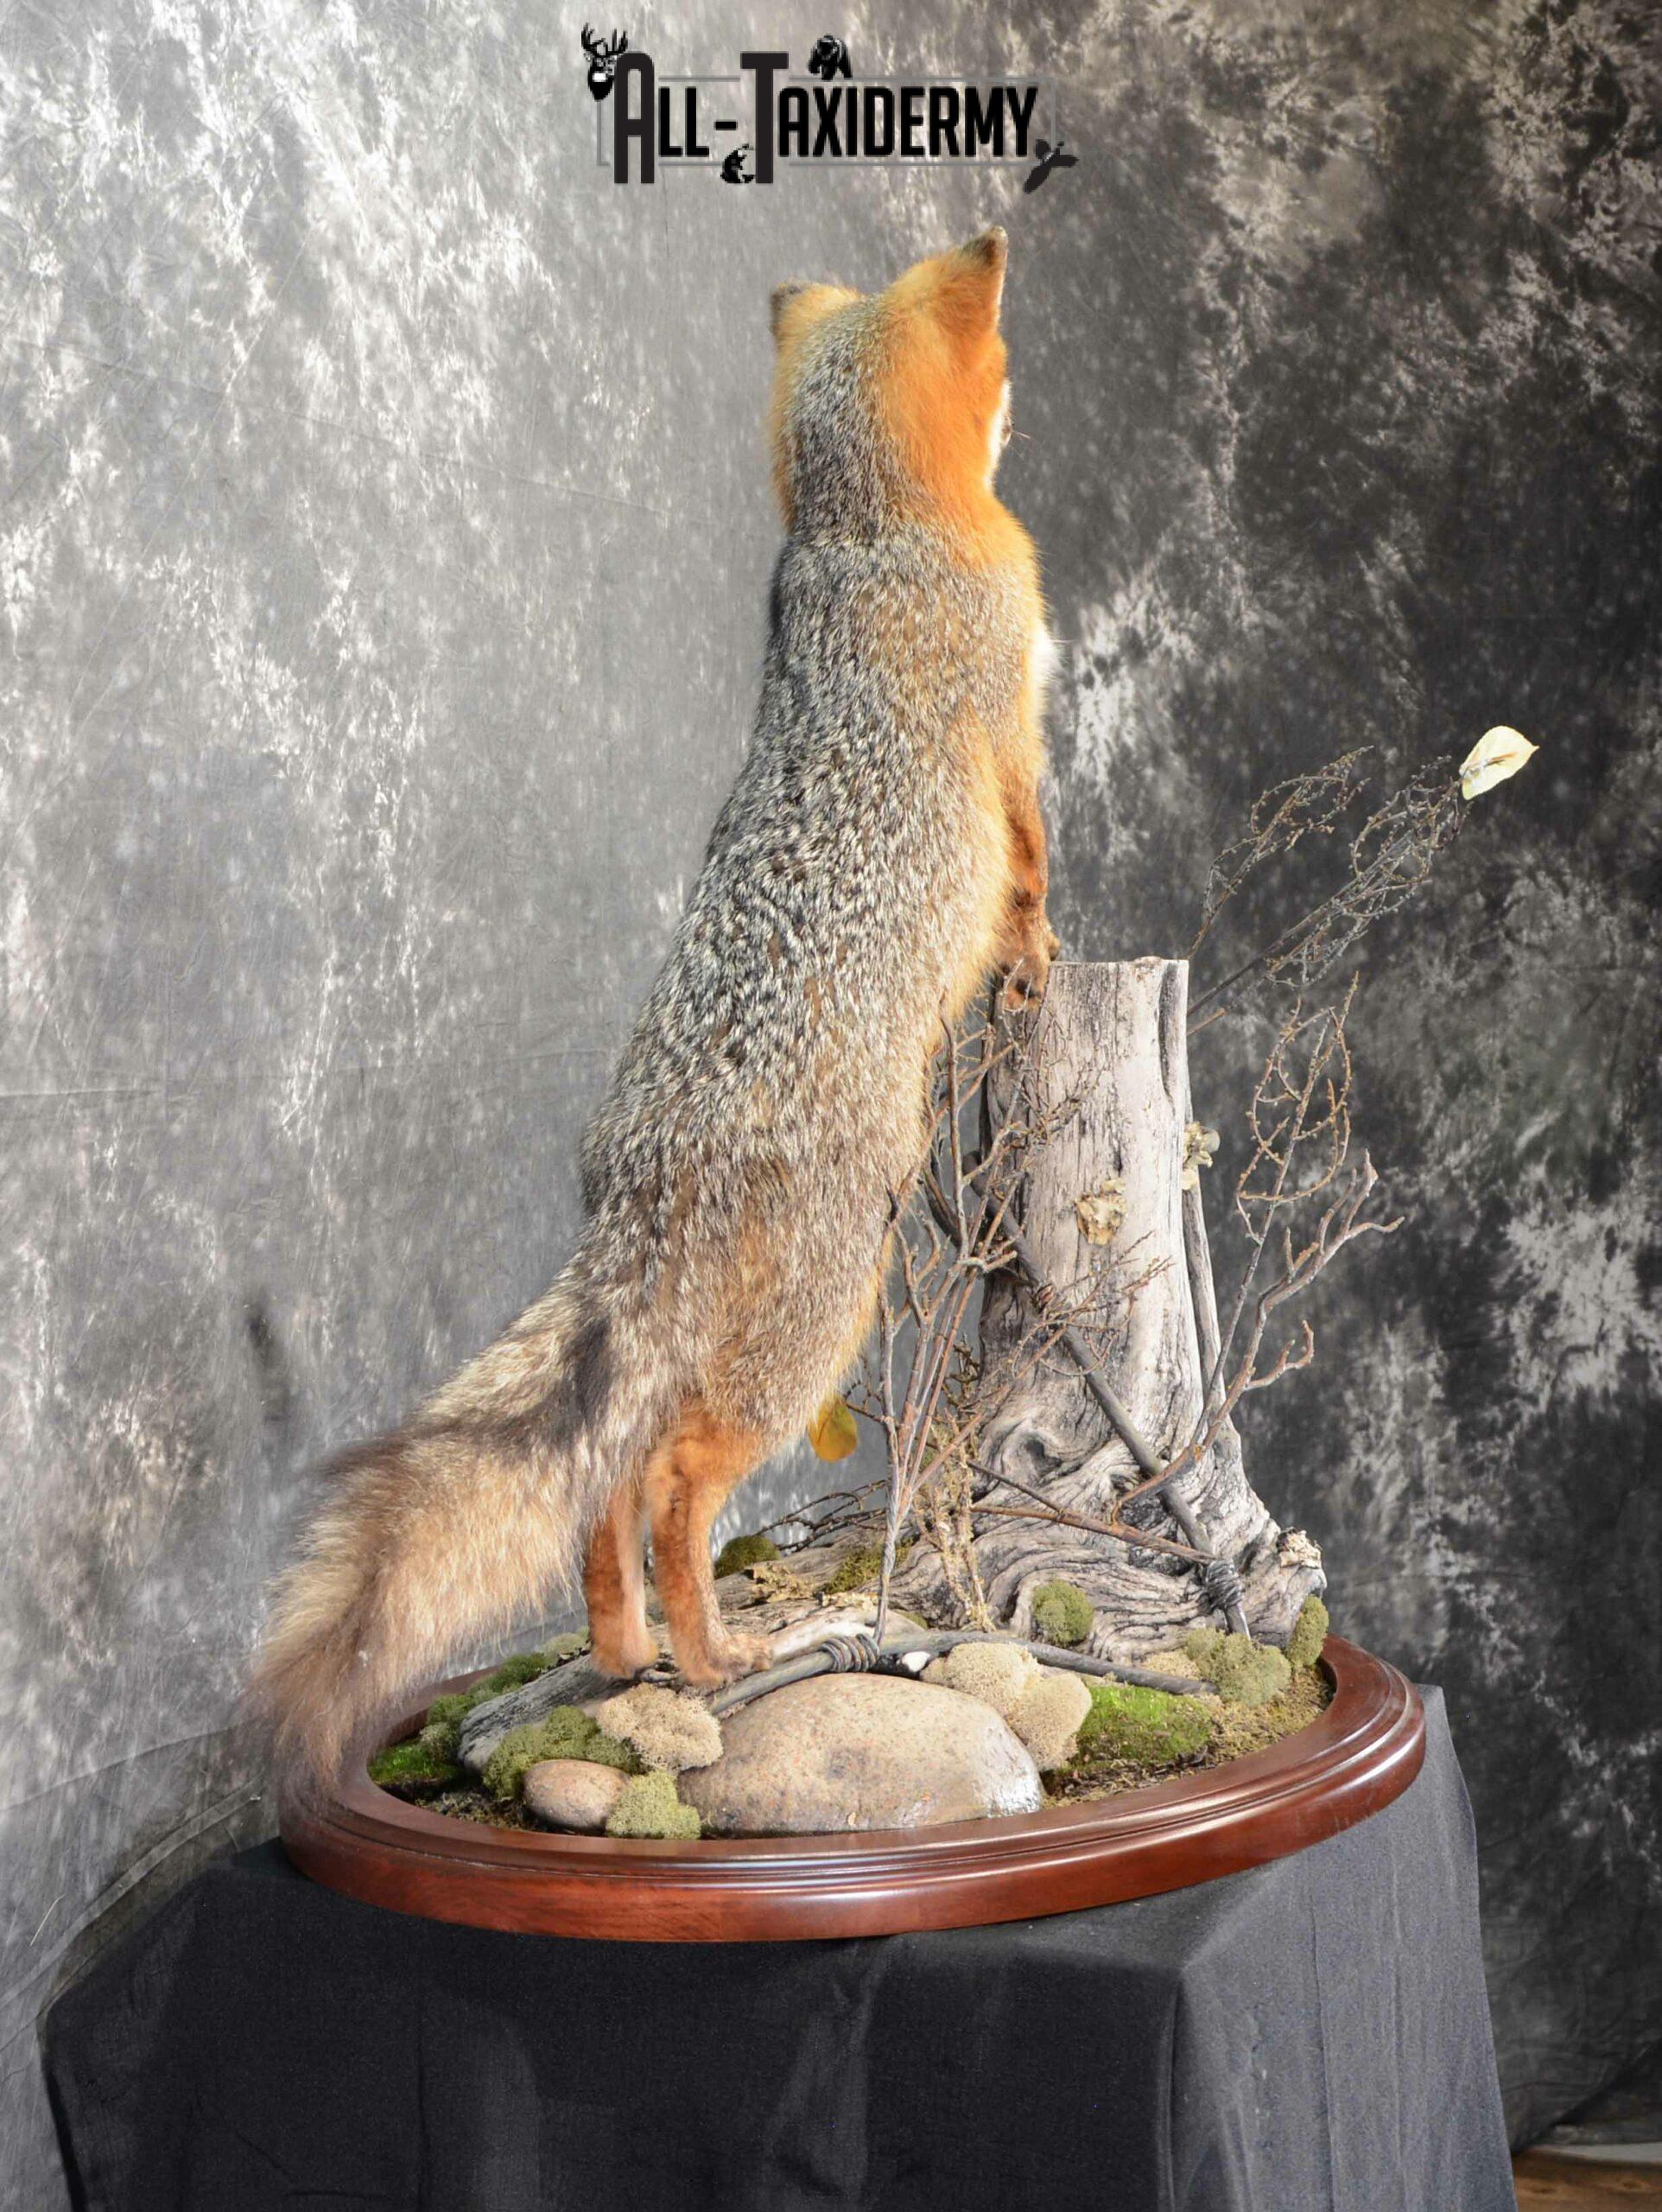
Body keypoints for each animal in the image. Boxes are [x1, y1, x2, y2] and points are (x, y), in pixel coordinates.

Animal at [249, 226, 1059, 1791]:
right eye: (1001, 358)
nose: (1031, 413)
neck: (857, 538)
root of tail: (644, 1157)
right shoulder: (1011, 742)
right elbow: (1037, 882)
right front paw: (1042, 959)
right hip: (813, 1329)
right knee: (676, 1486)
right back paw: (712, 1656)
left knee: (609, 1490)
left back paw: (632, 1660)